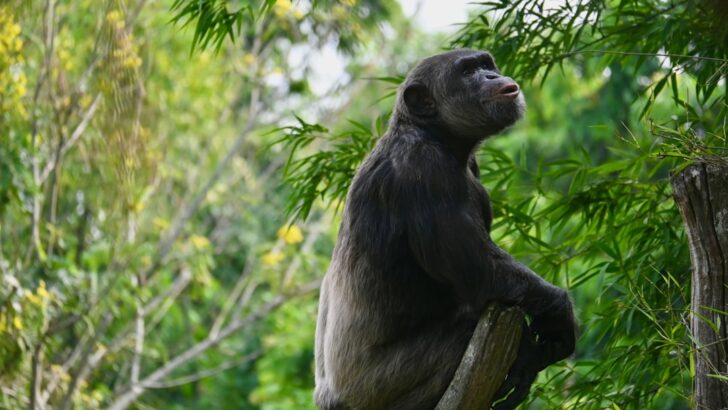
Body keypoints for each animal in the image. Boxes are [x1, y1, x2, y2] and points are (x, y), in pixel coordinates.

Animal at [314, 49, 576, 410]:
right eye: (467, 72)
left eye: (486, 64)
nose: (492, 76)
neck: (437, 136)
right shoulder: (424, 173)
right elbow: (480, 270)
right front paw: (560, 314)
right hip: (375, 388)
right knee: (466, 326)